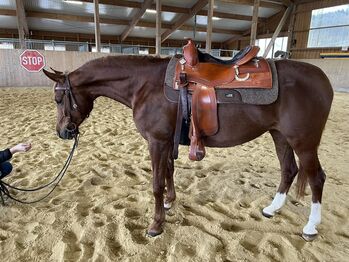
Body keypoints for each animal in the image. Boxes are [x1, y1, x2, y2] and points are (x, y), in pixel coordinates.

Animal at [43, 55, 332, 242]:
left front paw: (156, 225)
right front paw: (170, 202)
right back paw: (272, 209)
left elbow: (156, 183)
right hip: (280, 136)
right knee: (288, 170)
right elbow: (169, 173)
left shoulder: (157, 142)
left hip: (304, 142)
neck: (144, 85)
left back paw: (311, 227)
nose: (63, 132)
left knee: (316, 178)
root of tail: (323, 80)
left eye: (58, 98)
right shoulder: (166, 142)